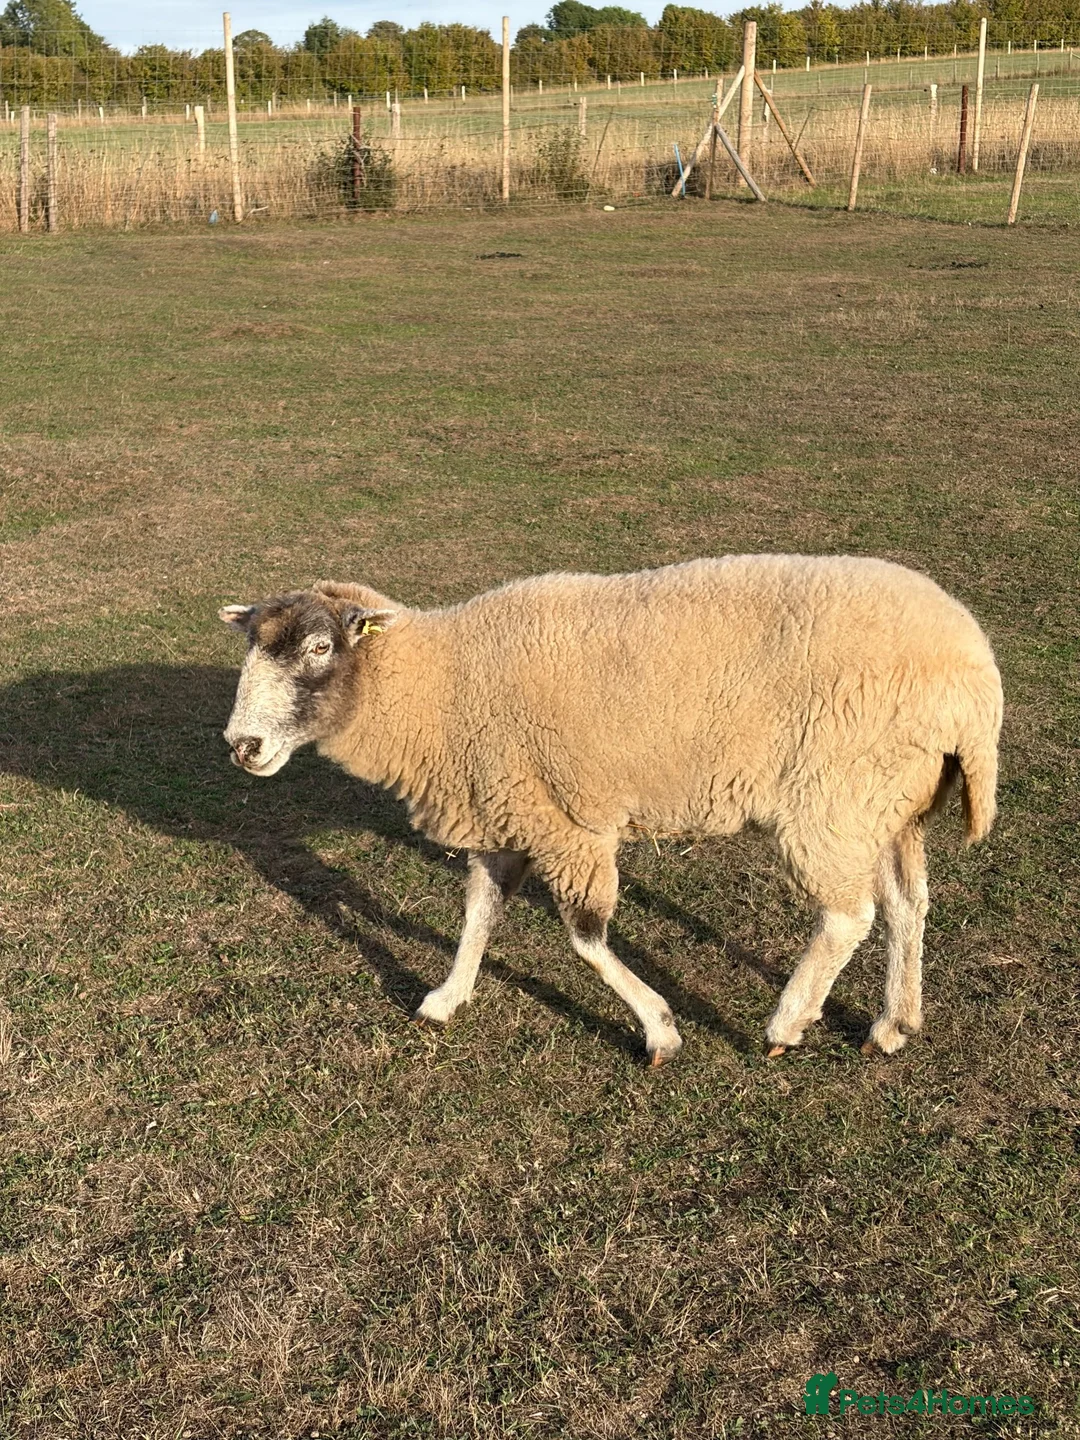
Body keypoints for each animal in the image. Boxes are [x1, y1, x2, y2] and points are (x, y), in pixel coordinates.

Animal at [219, 555, 1002, 1065]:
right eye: (251, 650)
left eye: (320, 646)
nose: (242, 746)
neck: (441, 687)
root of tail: (975, 674)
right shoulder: (507, 805)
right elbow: (478, 914)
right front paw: (446, 997)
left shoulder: (568, 828)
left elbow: (587, 940)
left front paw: (660, 1030)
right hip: (890, 798)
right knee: (906, 905)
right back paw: (894, 1023)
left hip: (832, 794)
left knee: (849, 915)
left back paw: (786, 1022)